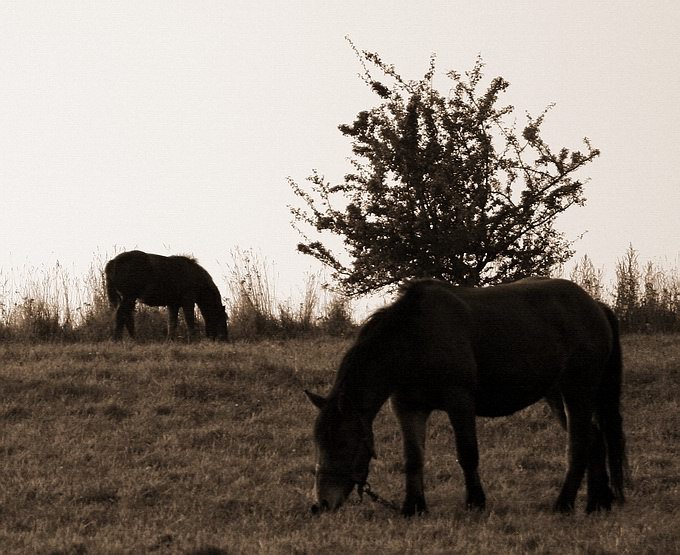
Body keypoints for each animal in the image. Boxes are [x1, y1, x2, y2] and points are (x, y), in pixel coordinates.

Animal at [308, 280, 628, 520]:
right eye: (319, 442)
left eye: (344, 443)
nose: (321, 503)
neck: (414, 340)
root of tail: (595, 306)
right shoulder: (409, 408)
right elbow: (413, 458)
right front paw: (414, 507)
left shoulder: (459, 402)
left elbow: (467, 454)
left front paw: (475, 502)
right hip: (558, 396)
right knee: (594, 440)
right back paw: (598, 503)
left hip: (577, 391)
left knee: (578, 445)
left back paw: (564, 504)